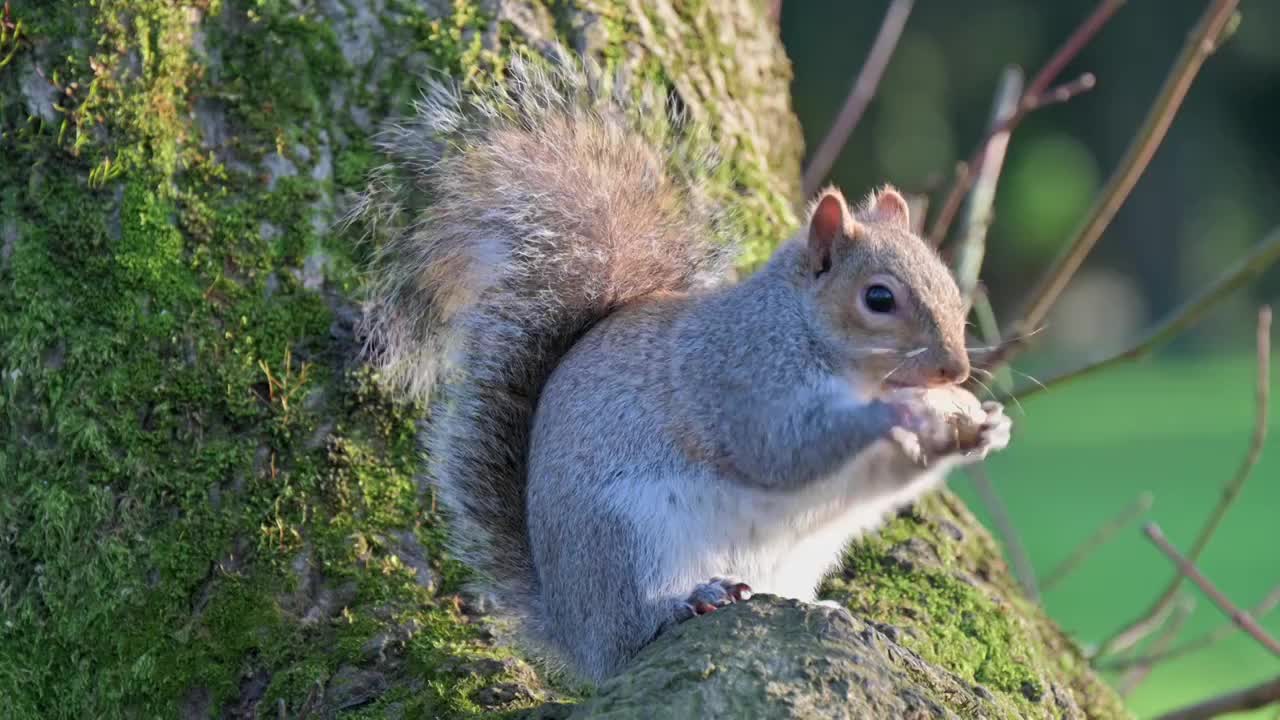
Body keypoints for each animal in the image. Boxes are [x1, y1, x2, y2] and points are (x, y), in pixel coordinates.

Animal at [350, 49, 1008, 676]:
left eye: (947, 278)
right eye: (878, 299)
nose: (954, 370)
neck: (809, 335)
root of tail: (571, 630)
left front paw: (981, 426)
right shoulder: (739, 378)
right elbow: (784, 449)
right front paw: (901, 413)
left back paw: (815, 604)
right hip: (629, 538)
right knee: (631, 635)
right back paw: (687, 602)